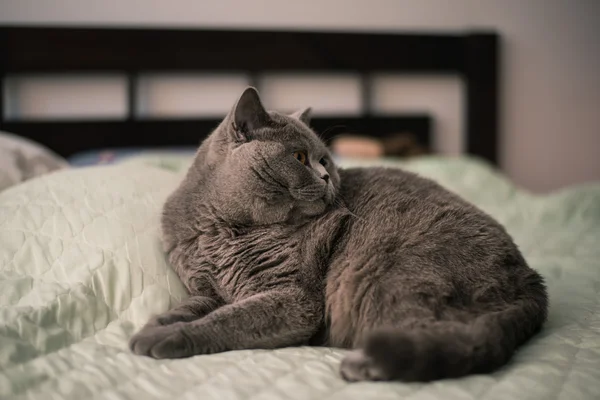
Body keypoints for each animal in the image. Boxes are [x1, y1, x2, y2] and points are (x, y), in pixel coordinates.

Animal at [130, 86, 548, 382]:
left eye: (325, 160)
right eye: (300, 158)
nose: (327, 175)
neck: (221, 231)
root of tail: (531, 281)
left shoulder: (292, 297)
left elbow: (229, 319)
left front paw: (165, 340)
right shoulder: (205, 290)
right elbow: (189, 308)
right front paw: (152, 328)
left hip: (389, 275)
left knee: (452, 338)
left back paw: (364, 364)